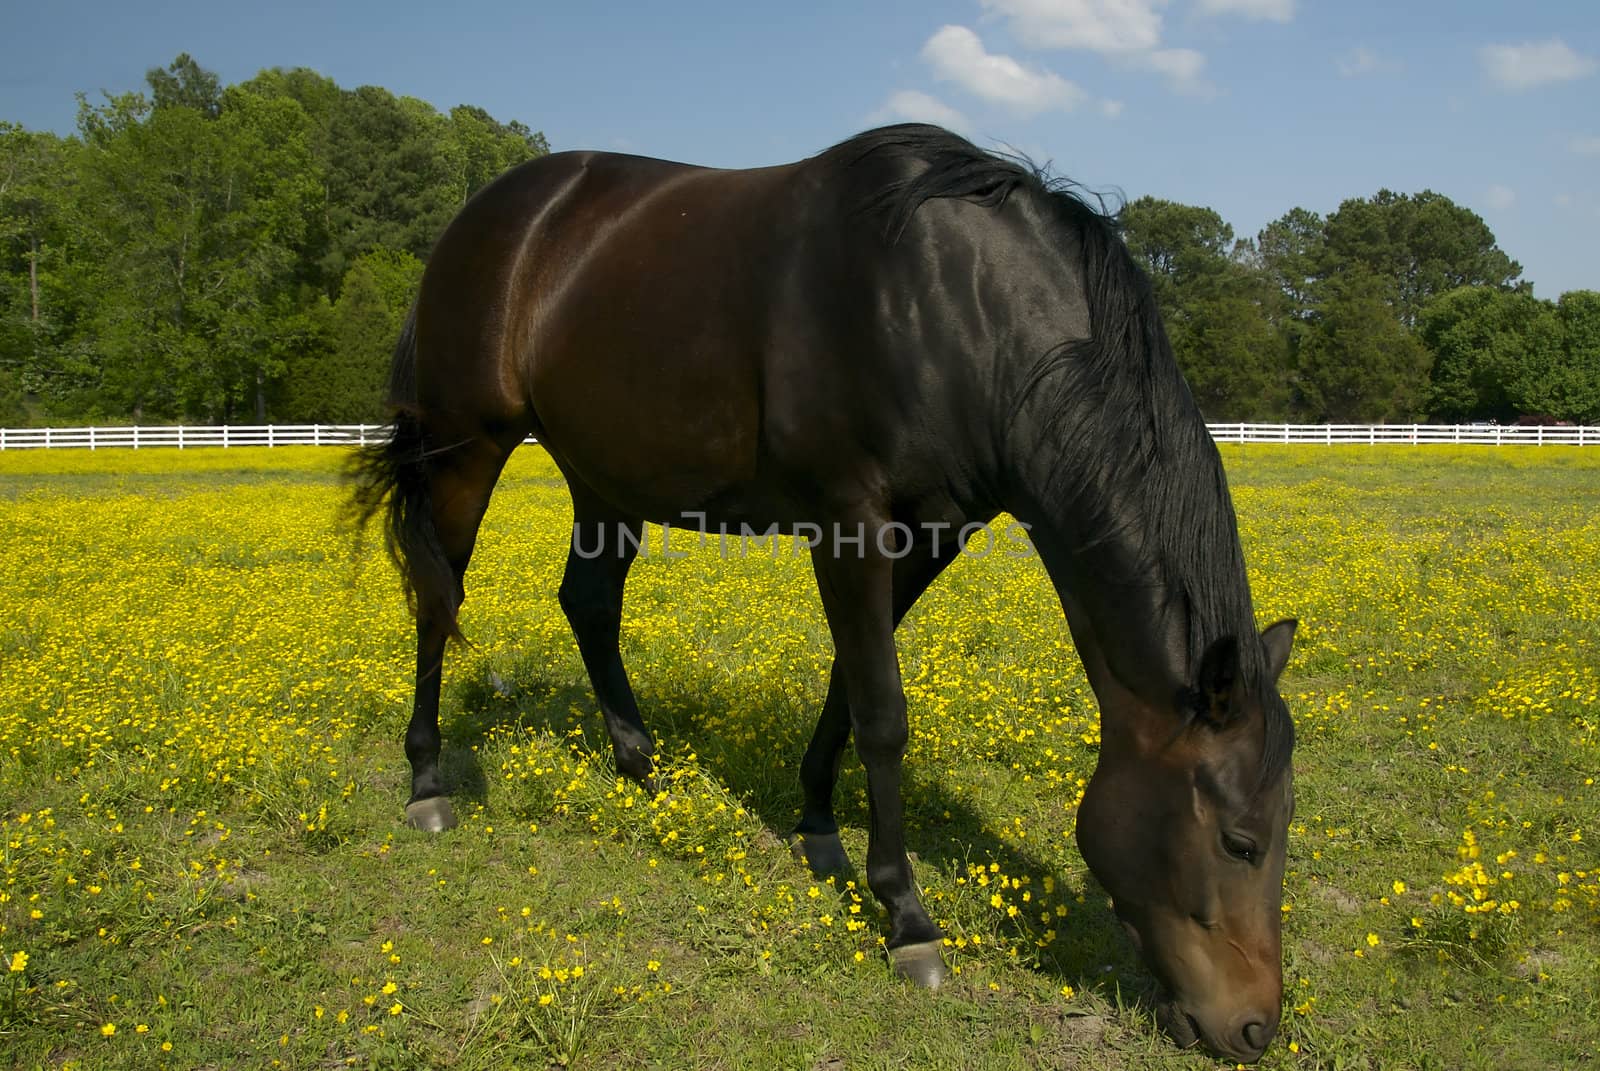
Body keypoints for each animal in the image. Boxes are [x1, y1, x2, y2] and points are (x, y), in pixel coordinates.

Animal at [344, 125, 1292, 1062]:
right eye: (1239, 840)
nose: (1255, 1027)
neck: (957, 307)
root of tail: (488, 215)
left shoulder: (934, 533)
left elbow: (849, 680)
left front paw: (817, 823)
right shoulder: (851, 523)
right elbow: (883, 711)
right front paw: (907, 916)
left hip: (601, 476)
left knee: (589, 602)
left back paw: (643, 766)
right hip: (466, 448)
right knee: (437, 596)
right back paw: (429, 780)